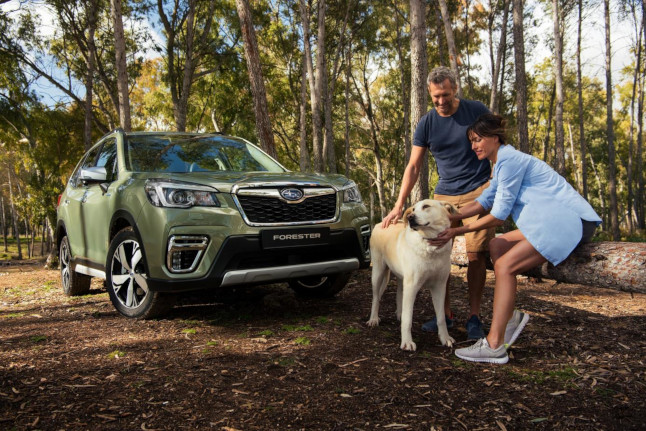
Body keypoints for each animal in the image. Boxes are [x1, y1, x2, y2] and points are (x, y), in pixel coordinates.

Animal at [368, 199, 458, 352]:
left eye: (426, 206)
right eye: (413, 209)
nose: (410, 217)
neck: (430, 247)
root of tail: (380, 223)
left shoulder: (440, 287)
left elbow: (441, 317)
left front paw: (445, 338)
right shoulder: (412, 286)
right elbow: (408, 319)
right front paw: (407, 342)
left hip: (401, 277)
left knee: (399, 293)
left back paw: (399, 313)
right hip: (378, 273)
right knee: (375, 298)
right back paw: (373, 318)